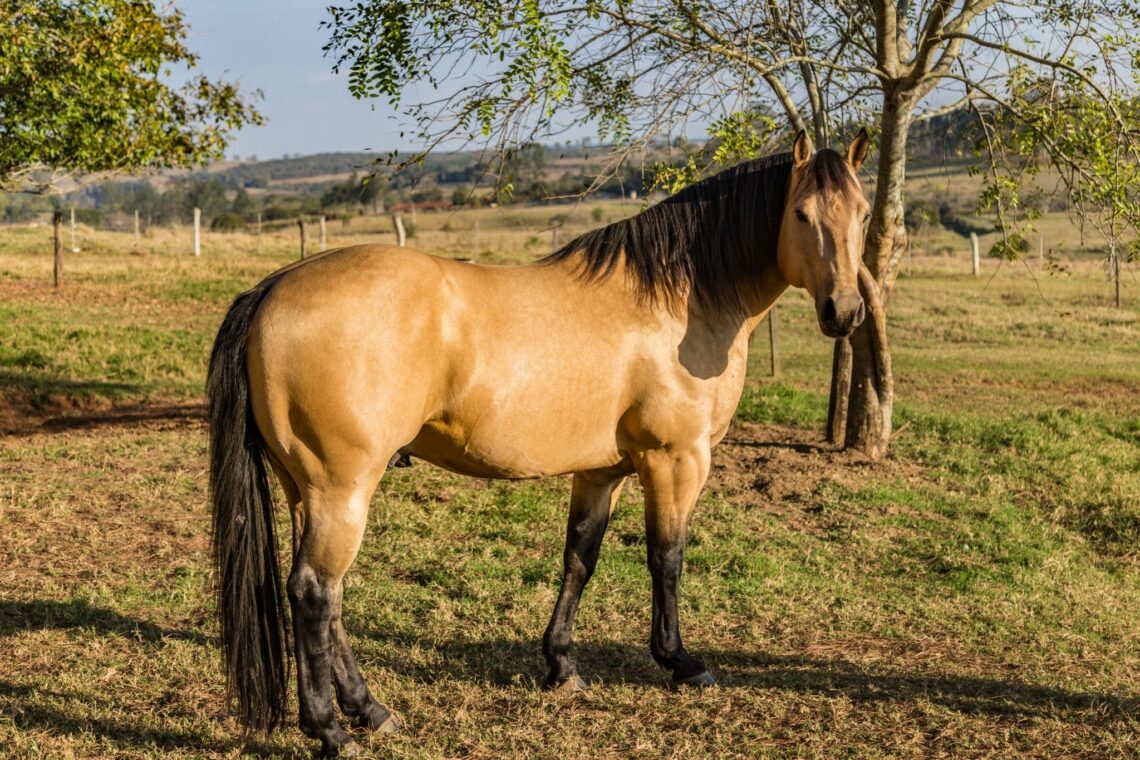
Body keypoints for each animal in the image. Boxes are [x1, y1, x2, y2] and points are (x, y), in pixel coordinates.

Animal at [207, 129, 872, 756]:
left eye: (863, 214)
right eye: (802, 214)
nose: (844, 312)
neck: (679, 302)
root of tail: (272, 290)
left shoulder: (601, 472)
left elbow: (580, 559)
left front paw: (561, 665)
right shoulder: (676, 460)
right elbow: (667, 557)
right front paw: (681, 662)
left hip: (307, 491)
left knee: (329, 598)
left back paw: (371, 710)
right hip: (341, 490)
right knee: (314, 592)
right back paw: (330, 730)